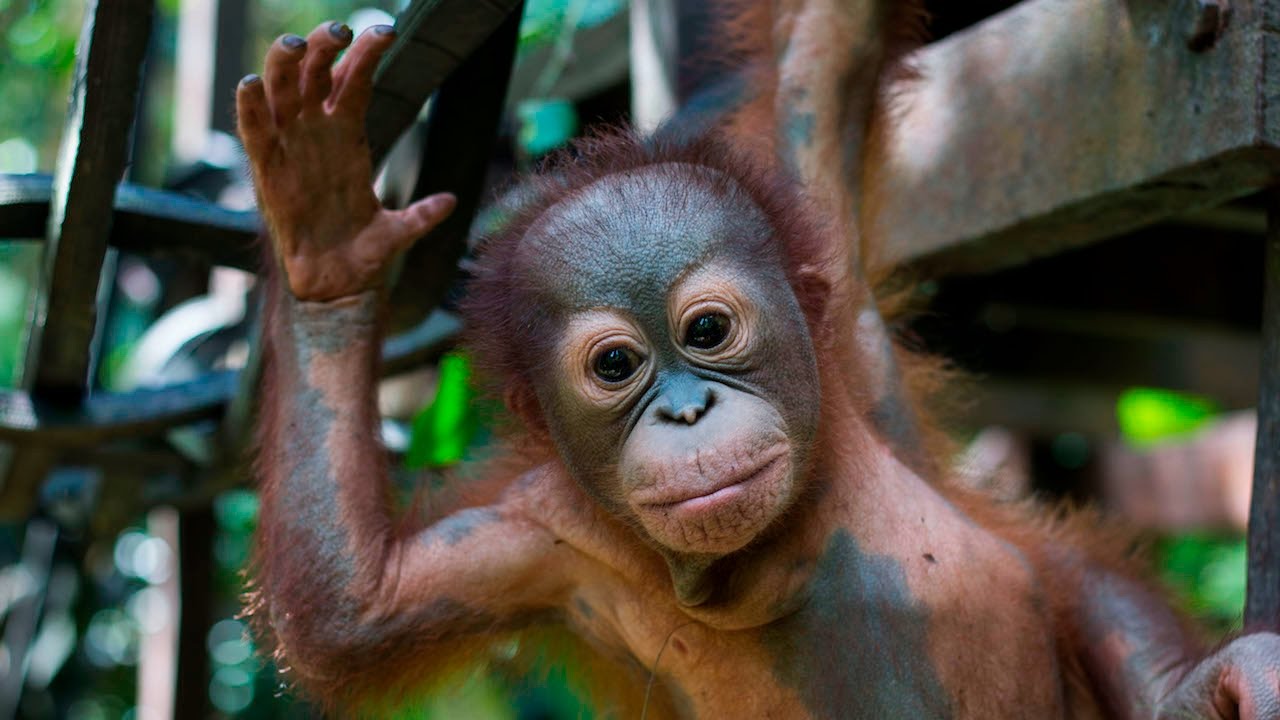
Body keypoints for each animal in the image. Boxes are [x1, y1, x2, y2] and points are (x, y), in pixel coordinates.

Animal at [235, 5, 1280, 718]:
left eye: (706, 333)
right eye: (616, 367)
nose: (687, 411)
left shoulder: (845, 342)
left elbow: (825, 58)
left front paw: (1209, 685)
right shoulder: (538, 538)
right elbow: (356, 607)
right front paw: (327, 250)